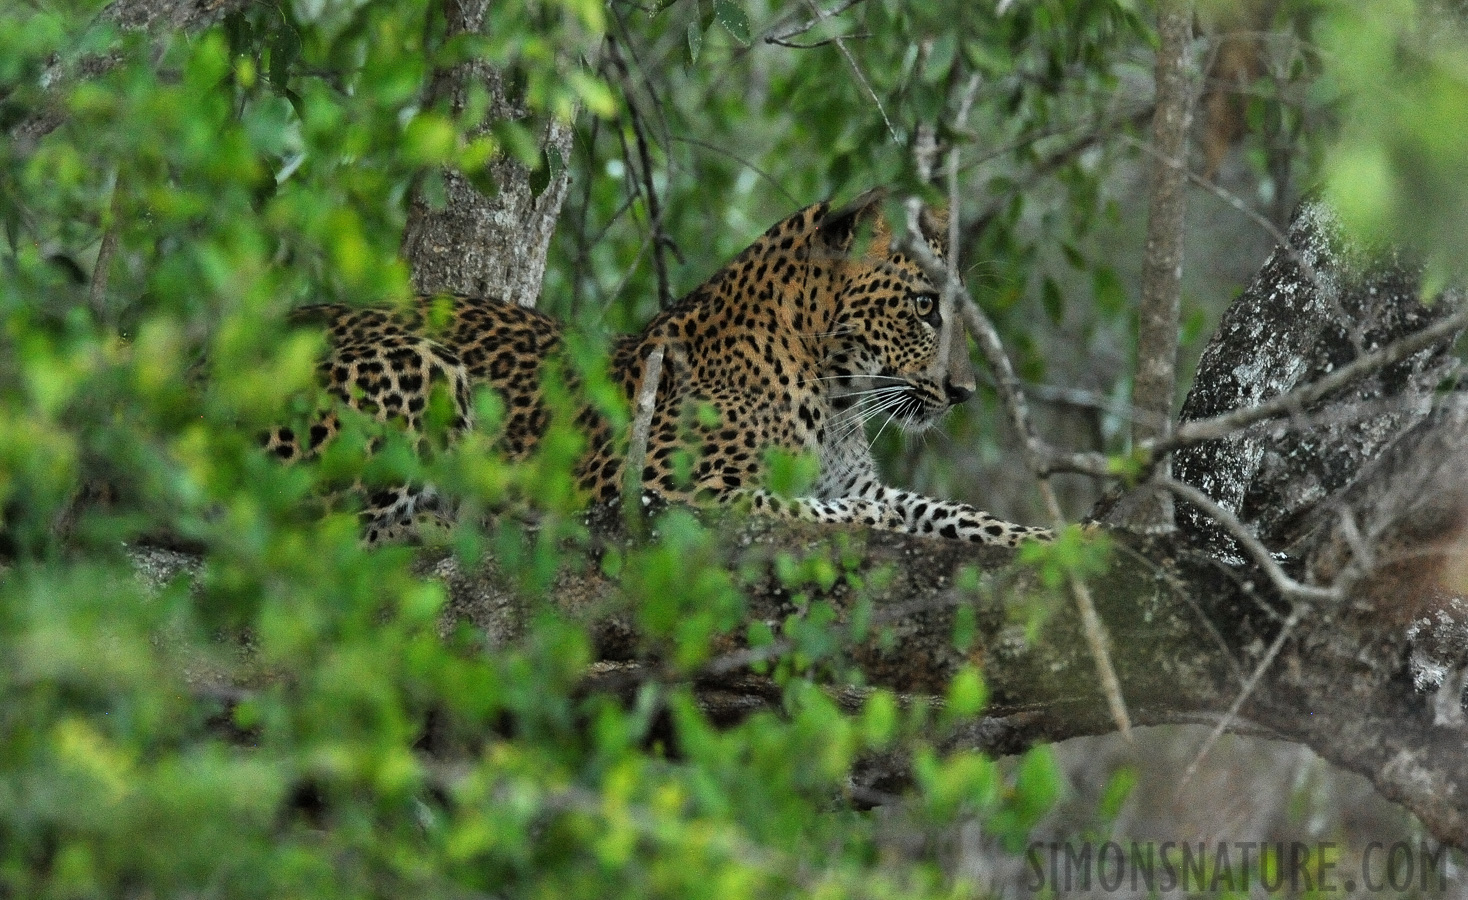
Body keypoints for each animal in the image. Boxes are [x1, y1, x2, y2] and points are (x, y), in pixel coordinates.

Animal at [258, 189, 1051, 546]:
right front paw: (867, 520)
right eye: (924, 306)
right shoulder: (651, 487)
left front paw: (1058, 542)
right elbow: (790, 505)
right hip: (424, 365)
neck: (834, 395)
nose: (964, 392)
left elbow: (948, 509)